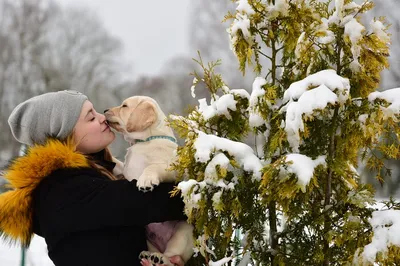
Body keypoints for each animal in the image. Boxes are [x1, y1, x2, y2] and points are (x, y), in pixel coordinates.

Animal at [104, 95, 194, 266]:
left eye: (124, 106)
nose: (105, 110)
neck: (145, 141)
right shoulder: (124, 170)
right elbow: (117, 164)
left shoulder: (171, 170)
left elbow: (153, 167)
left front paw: (146, 180)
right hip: (148, 238)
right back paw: (150, 257)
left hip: (183, 232)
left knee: (171, 256)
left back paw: (160, 259)